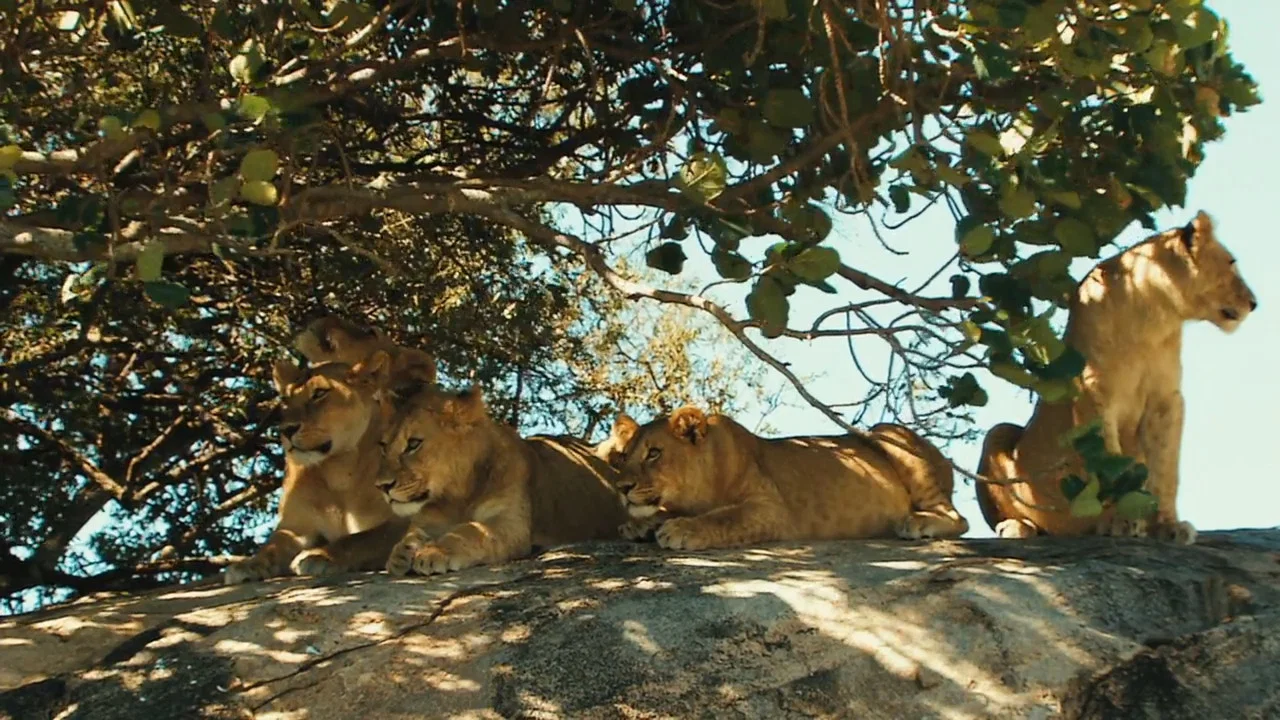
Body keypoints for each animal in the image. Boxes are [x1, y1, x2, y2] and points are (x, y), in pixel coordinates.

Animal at [223, 351, 408, 584]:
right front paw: (249, 564)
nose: (286, 429)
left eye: (319, 393)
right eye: (285, 400)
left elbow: (359, 539)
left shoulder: (404, 519)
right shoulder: (296, 527)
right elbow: (272, 546)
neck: (339, 470)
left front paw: (319, 556)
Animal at [375, 386, 629, 576]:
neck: (457, 495)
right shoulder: (429, 520)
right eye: (383, 446)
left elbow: (469, 530)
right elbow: (412, 533)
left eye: (413, 443)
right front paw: (400, 553)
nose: (382, 486)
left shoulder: (511, 525)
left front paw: (433, 553)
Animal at [606, 407, 970, 550]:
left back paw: (916, 523)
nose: (621, 487)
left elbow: (725, 516)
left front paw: (680, 530)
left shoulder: (772, 510)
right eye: (623, 457)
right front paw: (639, 525)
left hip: (884, 432)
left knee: (959, 519)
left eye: (654, 453)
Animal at [976, 211, 1257, 545]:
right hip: (997, 434)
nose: (1254, 304)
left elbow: (1166, 469)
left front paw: (1168, 526)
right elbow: (1109, 463)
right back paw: (1017, 527)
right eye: (1231, 262)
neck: (1154, 317)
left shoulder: (1166, 400)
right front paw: (1119, 522)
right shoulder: (1091, 391)